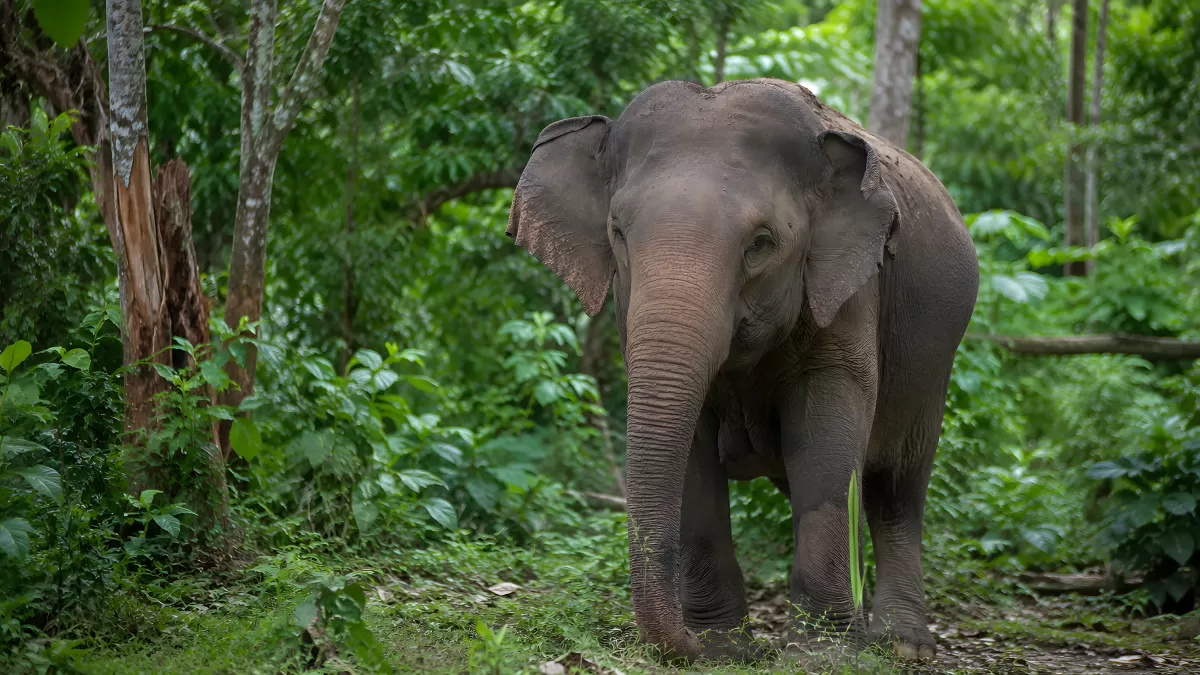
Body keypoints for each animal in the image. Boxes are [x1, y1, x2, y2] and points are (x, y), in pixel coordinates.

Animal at [505, 78, 978, 663]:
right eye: (617, 231)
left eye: (761, 244)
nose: (682, 645)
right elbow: (692, 458)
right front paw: (724, 649)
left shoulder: (849, 290)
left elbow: (825, 441)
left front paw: (819, 655)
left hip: (934, 363)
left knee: (897, 489)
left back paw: (902, 646)